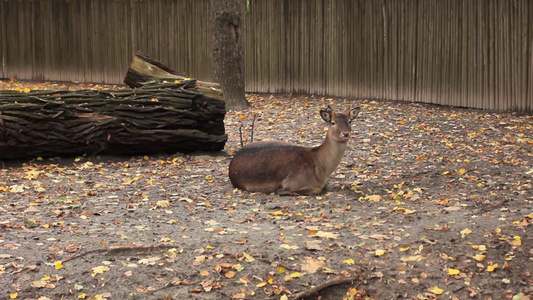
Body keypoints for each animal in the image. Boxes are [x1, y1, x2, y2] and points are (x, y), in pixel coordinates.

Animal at [227, 104, 360, 196]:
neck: (320, 170)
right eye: (332, 122)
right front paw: (281, 190)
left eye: (349, 121)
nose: (346, 133)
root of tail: (231, 164)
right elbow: (317, 189)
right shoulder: (294, 181)